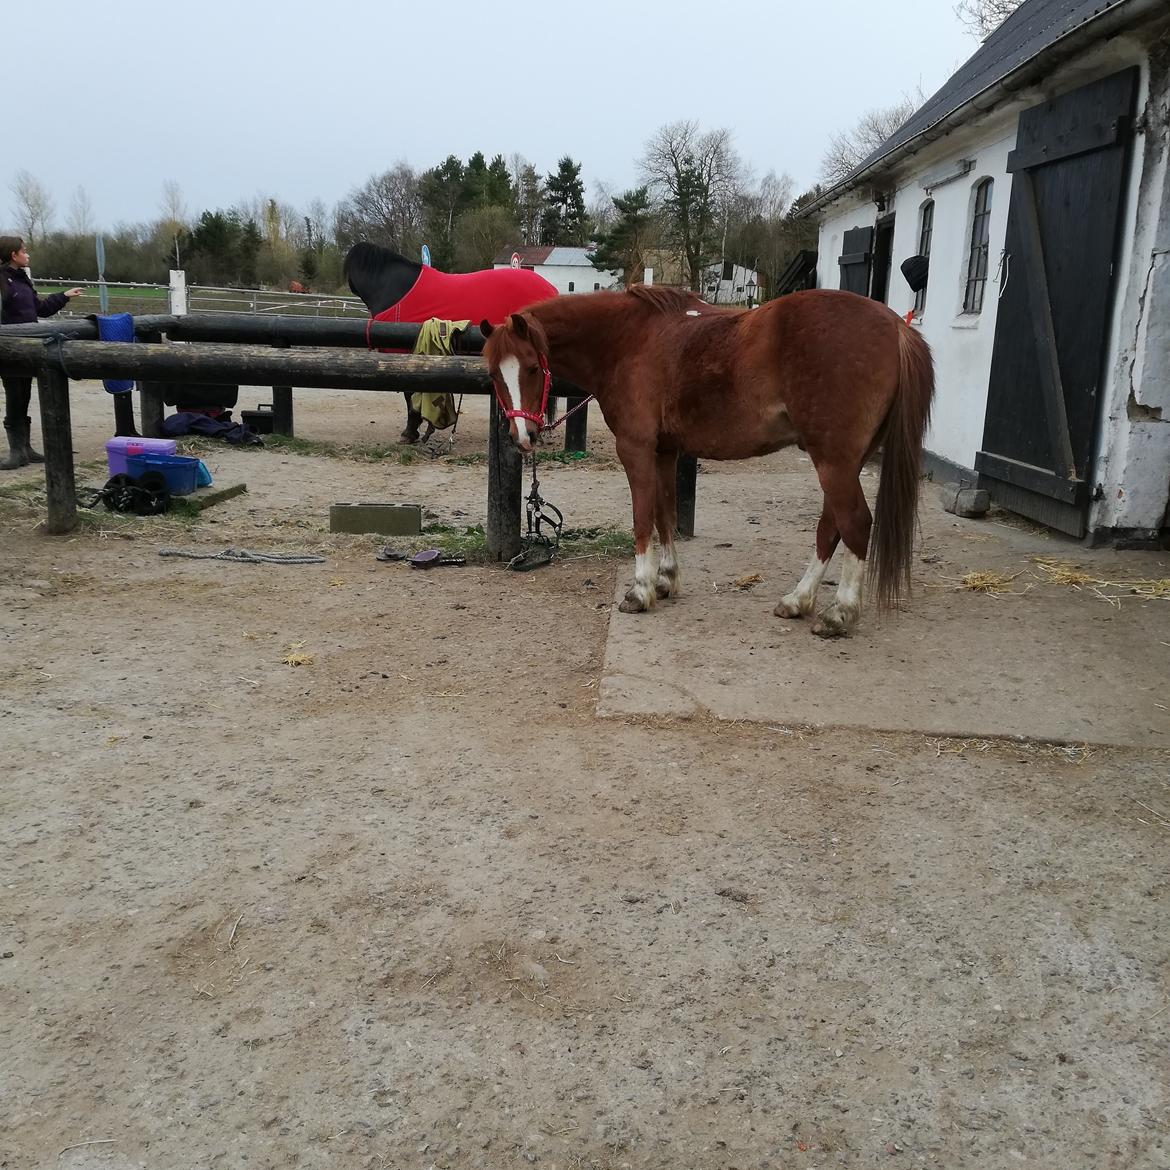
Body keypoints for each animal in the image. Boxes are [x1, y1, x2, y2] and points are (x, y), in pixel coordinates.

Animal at [481, 285, 934, 638]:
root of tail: (896, 326)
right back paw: (798, 599)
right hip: (843, 463)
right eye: (494, 375)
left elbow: (642, 518)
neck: (629, 340)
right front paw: (666, 579)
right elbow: (664, 514)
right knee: (830, 527)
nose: (523, 437)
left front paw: (640, 590)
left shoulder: (636, 448)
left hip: (834, 462)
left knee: (854, 523)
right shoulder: (664, 451)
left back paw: (839, 613)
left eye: (532, 367)